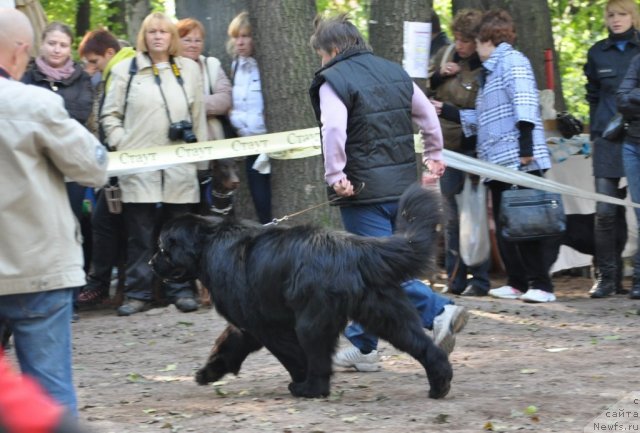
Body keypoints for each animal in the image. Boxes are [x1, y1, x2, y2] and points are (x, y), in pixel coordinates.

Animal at [149, 182, 450, 398]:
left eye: (163, 248)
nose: (151, 263)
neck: (208, 244)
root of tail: (351, 248)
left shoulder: (267, 326)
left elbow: (292, 356)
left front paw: (299, 380)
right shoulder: (245, 324)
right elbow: (227, 344)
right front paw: (208, 373)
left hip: (311, 321)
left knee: (317, 356)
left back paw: (310, 389)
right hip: (385, 312)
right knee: (423, 345)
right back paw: (440, 383)